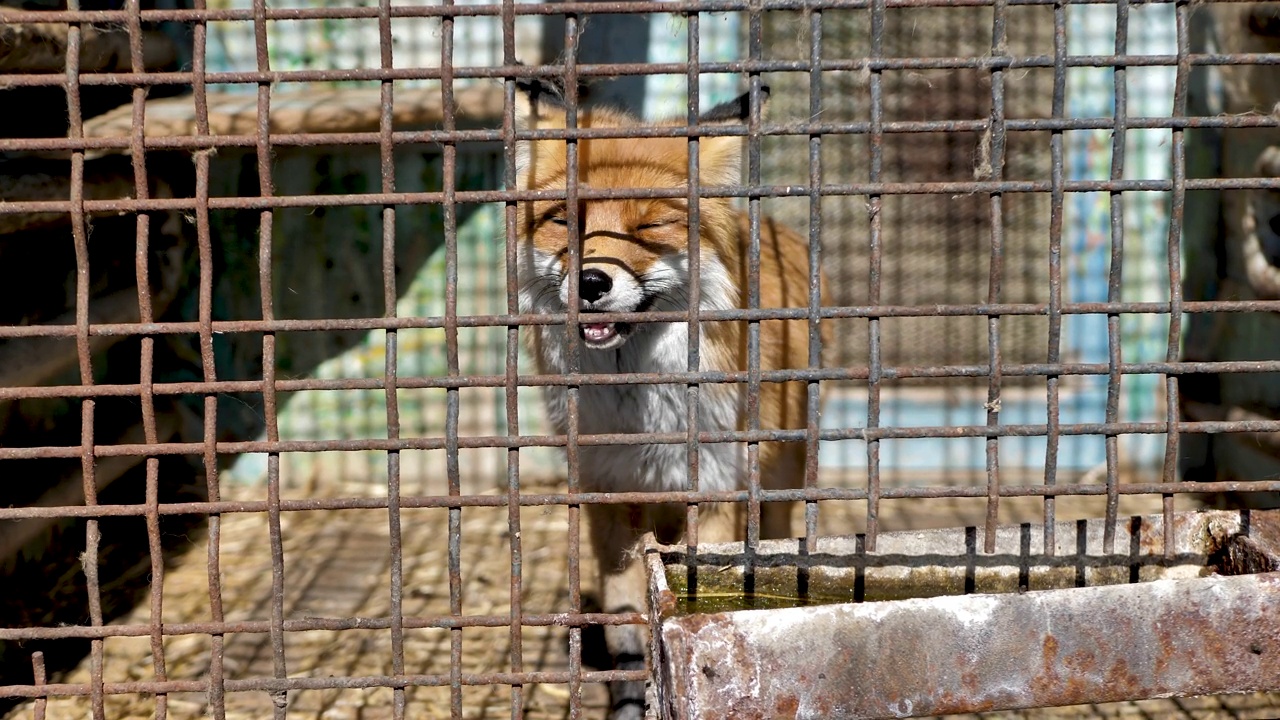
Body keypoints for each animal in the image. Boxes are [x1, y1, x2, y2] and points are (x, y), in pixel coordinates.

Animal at [514, 78, 834, 717]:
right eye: (566, 221)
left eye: (647, 230)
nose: (592, 283)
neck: (641, 415)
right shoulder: (610, 499)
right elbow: (627, 629)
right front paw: (631, 698)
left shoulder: (712, 494)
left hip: (779, 477)